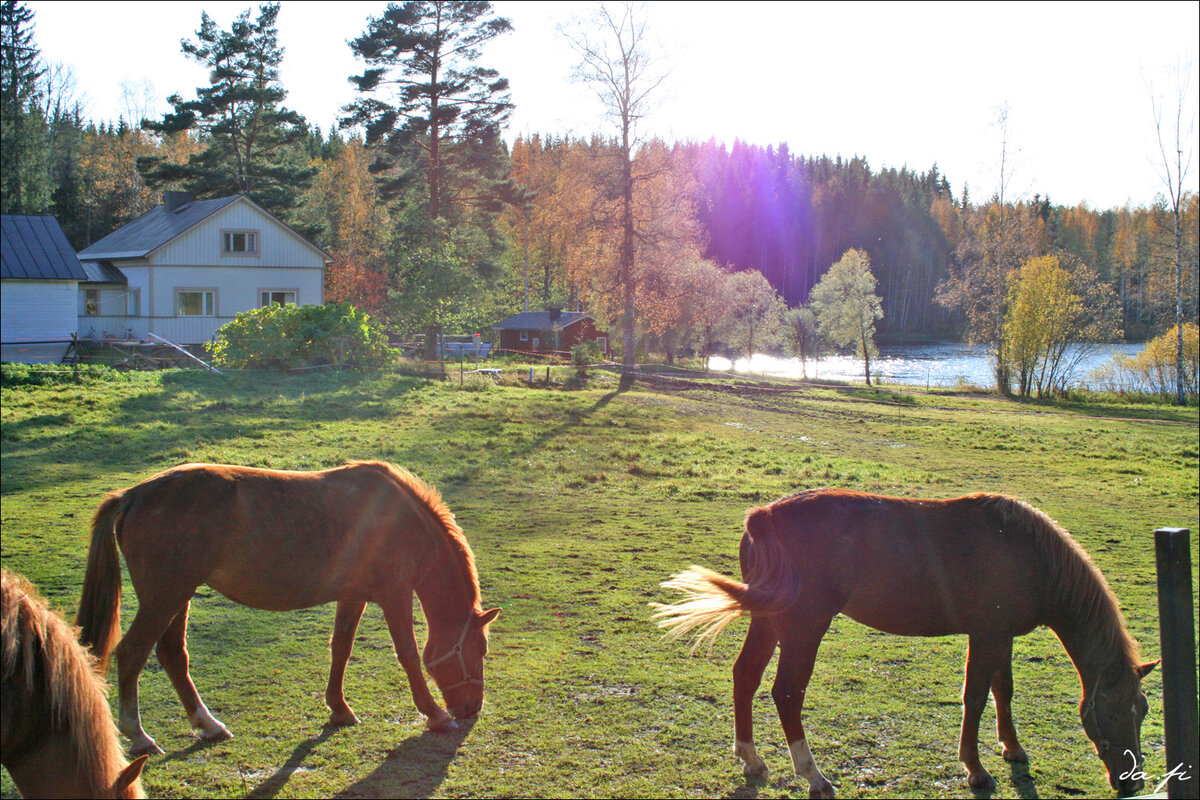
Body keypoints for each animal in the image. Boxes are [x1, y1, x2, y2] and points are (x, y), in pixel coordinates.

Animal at [75, 462, 499, 758]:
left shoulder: (353, 596)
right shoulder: (394, 594)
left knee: (173, 656)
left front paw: (339, 709)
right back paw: (139, 736)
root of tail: (134, 494)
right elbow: (408, 655)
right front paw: (435, 714)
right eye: (479, 649)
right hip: (164, 598)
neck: (401, 519)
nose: (471, 708)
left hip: (179, 596)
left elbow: (340, 648)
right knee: (132, 653)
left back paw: (208, 725)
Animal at [652, 491, 1156, 796]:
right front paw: (975, 769)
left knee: (746, 676)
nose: (1130, 781)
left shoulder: (1002, 636)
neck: (1027, 553)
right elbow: (976, 697)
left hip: (769, 618)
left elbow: (1003, 691)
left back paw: (752, 760)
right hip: (804, 626)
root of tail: (764, 517)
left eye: (1143, 711)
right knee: (786, 694)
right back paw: (813, 775)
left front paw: (1012, 748)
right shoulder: (986, 635)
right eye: (1114, 713)